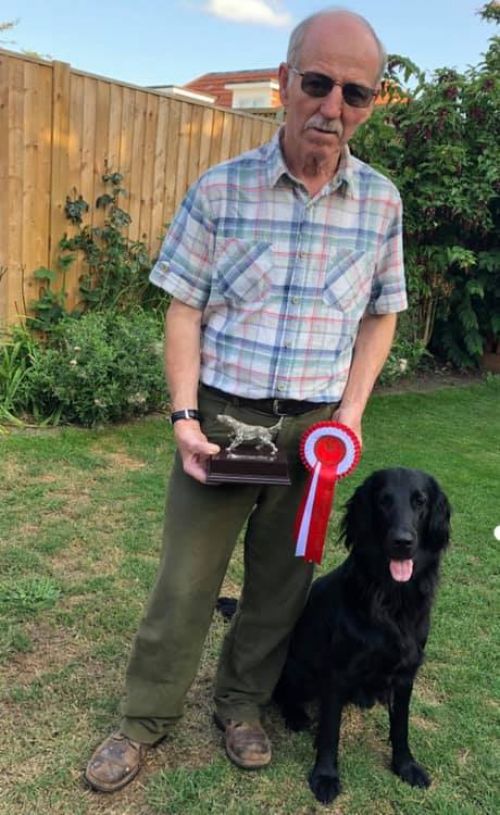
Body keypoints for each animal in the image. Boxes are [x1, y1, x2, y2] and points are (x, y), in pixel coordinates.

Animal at [276, 468, 452, 808]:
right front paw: (325, 776)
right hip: (296, 667)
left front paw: (405, 766)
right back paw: (296, 715)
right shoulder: (337, 671)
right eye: (383, 501)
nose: (402, 542)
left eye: (420, 501)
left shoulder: (406, 674)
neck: (392, 600)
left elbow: (401, 727)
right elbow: (330, 732)